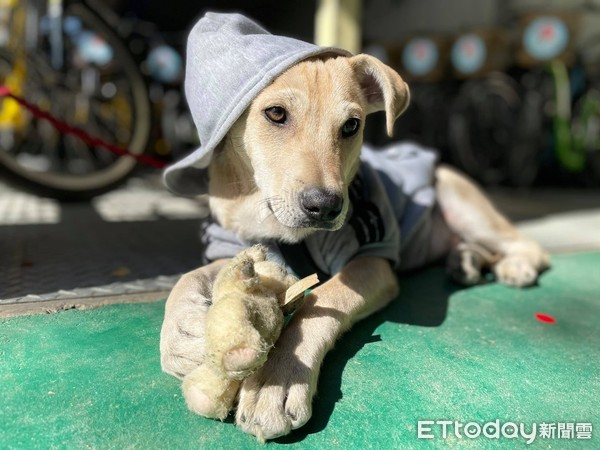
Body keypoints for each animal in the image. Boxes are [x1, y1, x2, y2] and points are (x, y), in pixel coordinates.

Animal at [158, 53, 548, 440]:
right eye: (276, 113)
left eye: (351, 126)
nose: (326, 207)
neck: (268, 217)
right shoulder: (236, 248)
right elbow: (189, 276)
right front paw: (181, 332)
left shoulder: (371, 256)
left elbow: (322, 296)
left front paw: (277, 378)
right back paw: (465, 261)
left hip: (462, 203)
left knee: (529, 246)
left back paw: (515, 265)